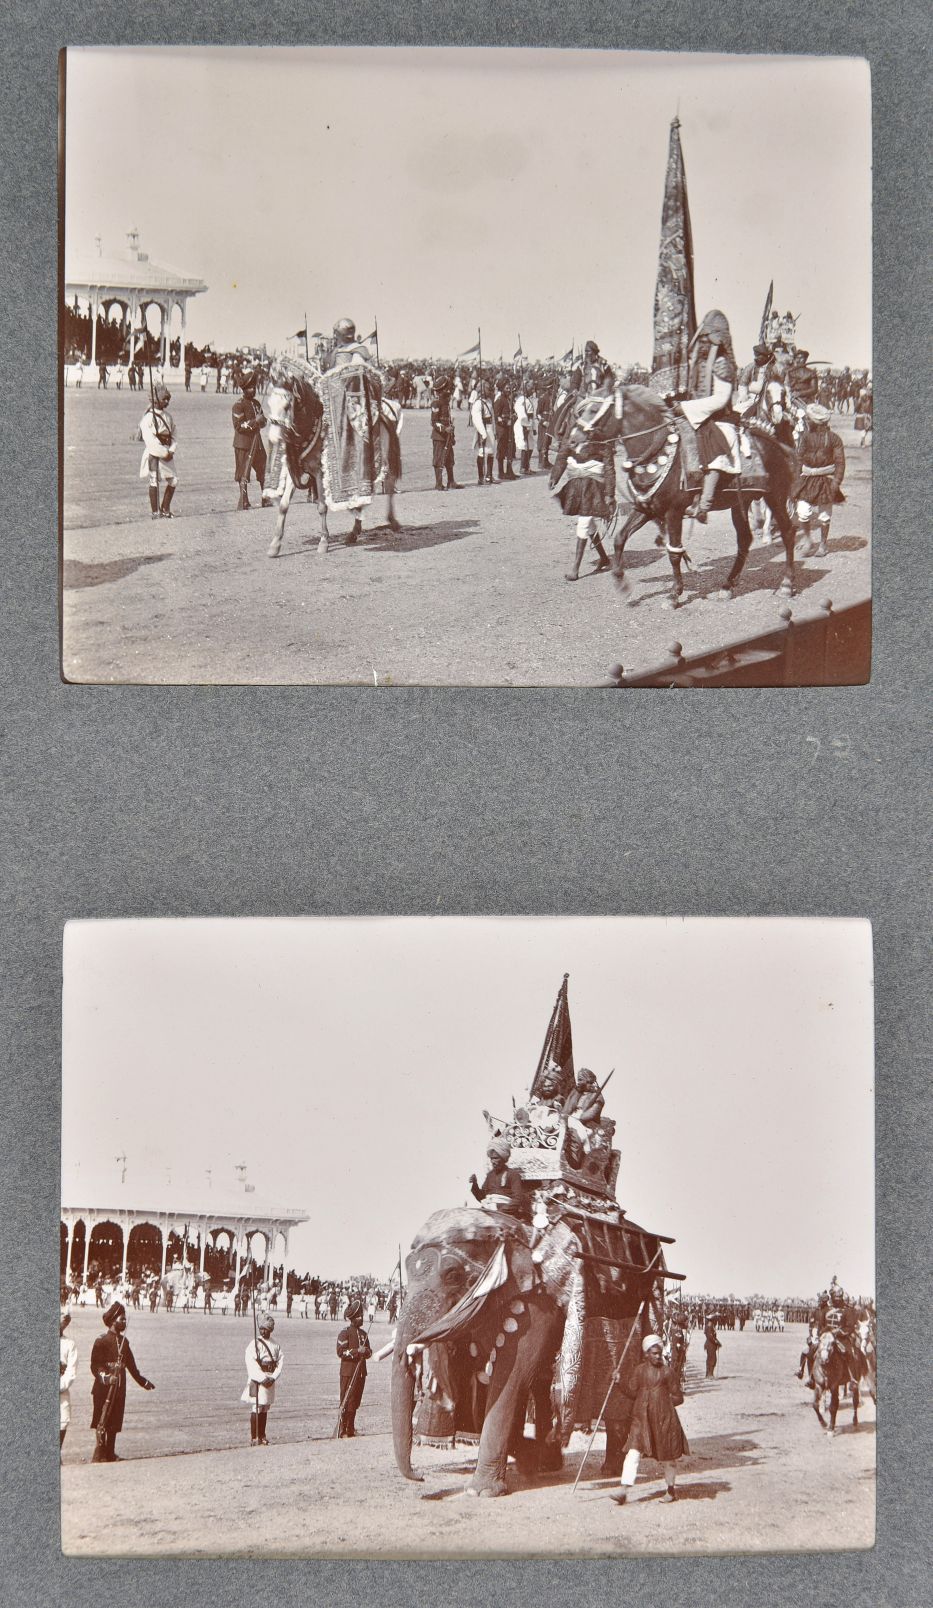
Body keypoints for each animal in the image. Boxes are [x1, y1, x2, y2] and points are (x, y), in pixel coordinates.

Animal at [389, 1209, 659, 1492]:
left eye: (452, 1274)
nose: (421, 1476)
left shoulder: (537, 1304)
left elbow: (512, 1378)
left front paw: (482, 1490)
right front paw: (531, 1460)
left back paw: (611, 1467)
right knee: (543, 1387)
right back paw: (552, 1462)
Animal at [608, 385, 797, 604]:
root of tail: (778, 444)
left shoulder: (673, 512)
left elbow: (674, 552)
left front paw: (674, 594)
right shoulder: (646, 508)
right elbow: (620, 538)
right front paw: (621, 582)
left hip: (775, 496)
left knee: (788, 531)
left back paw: (786, 584)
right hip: (739, 503)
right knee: (745, 539)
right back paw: (727, 585)